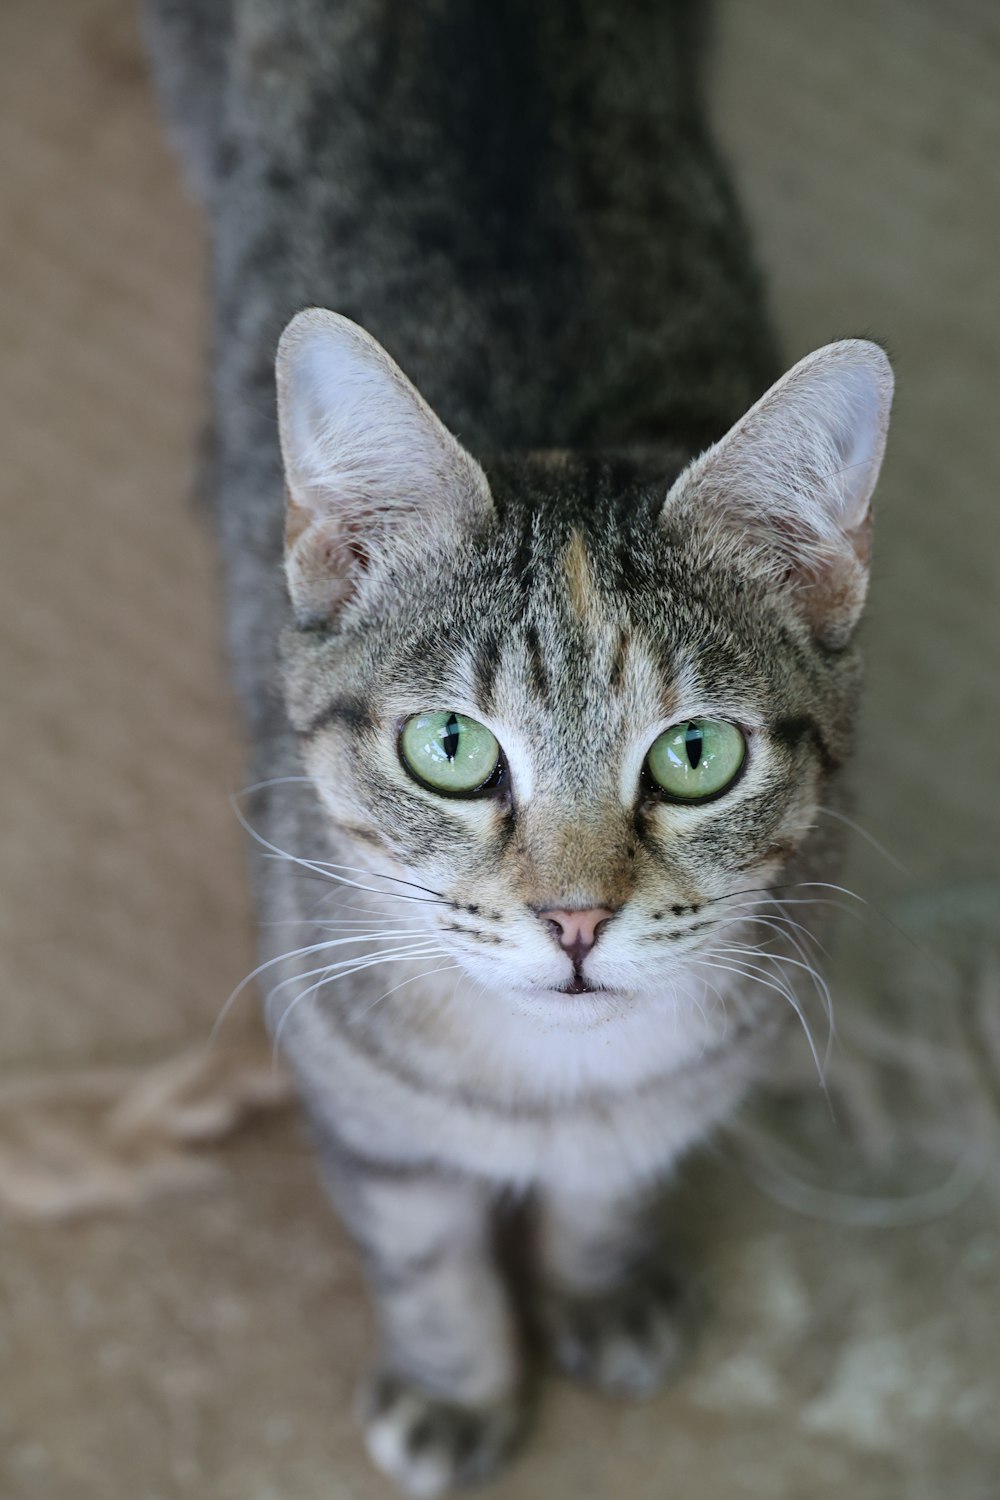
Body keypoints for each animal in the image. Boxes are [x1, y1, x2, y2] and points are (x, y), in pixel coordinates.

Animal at [142, 2, 893, 1488]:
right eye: (449, 745)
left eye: (697, 756)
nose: (576, 920)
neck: (553, 1089)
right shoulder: (353, 1086)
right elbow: (423, 1248)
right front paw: (461, 1383)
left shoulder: (676, 1088)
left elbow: (611, 1188)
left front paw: (596, 1286)